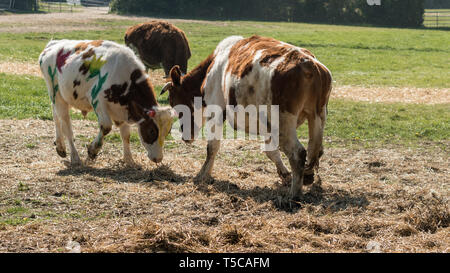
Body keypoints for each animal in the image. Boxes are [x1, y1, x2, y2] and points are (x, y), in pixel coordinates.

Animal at [39, 39, 176, 165]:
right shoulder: (97, 99)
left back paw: (60, 147)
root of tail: (53, 44)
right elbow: (106, 127)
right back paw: (74, 156)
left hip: (58, 98)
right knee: (66, 125)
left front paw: (129, 159)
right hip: (56, 94)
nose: (158, 158)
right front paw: (93, 150)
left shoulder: (123, 108)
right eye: (152, 131)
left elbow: (126, 135)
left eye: (167, 132)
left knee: (56, 116)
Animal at [161, 35, 330, 198]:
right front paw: (285, 175)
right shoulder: (267, 125)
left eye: (174, 102)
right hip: (317, 116)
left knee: (298, 153)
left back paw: (294, 194)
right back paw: (307, 176)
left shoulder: (216, 111)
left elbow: (212, 147)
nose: (184, 136)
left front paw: (203, 174)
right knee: (316, 149)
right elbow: (270, 151)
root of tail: (310, 65)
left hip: (284, 123)